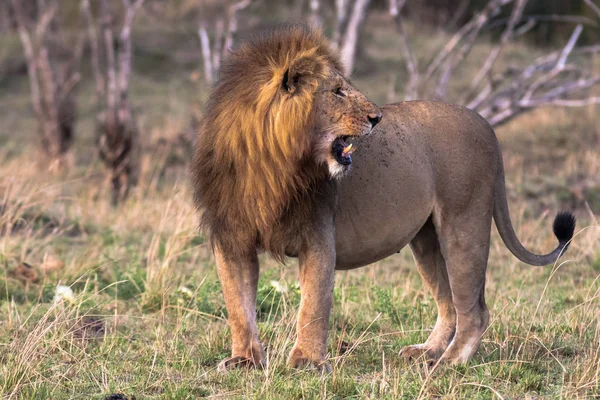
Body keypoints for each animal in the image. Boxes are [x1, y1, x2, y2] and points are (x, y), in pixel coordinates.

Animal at [192, 24, 576, 372]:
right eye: (337, 91)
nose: (377, 117)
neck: (269, 161)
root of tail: (485, 123)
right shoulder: (231, 239)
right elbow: (238, 306)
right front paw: (245, 360)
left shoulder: (318, 235)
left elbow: (313, 305)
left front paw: (307, 362)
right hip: (427, 240)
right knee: (449, 304)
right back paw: (427, 352)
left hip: (464, 224)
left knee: (475, 310)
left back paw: (448, 363)